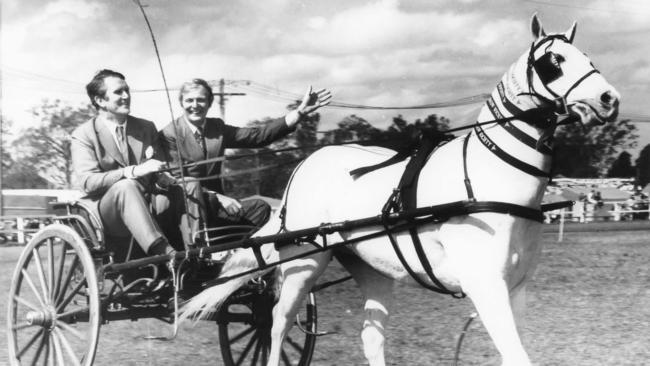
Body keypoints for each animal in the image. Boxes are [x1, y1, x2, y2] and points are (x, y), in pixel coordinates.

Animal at [181, 15, 616, 366]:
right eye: (553, 61)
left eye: (586, 55)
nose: (609, 99)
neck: (485, 182)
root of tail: (304, 165)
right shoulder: (486, 288)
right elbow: (517, 355)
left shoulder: (516, 289)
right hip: (301, 264)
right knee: (276, 326)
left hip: (370, 268)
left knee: (370, 337)